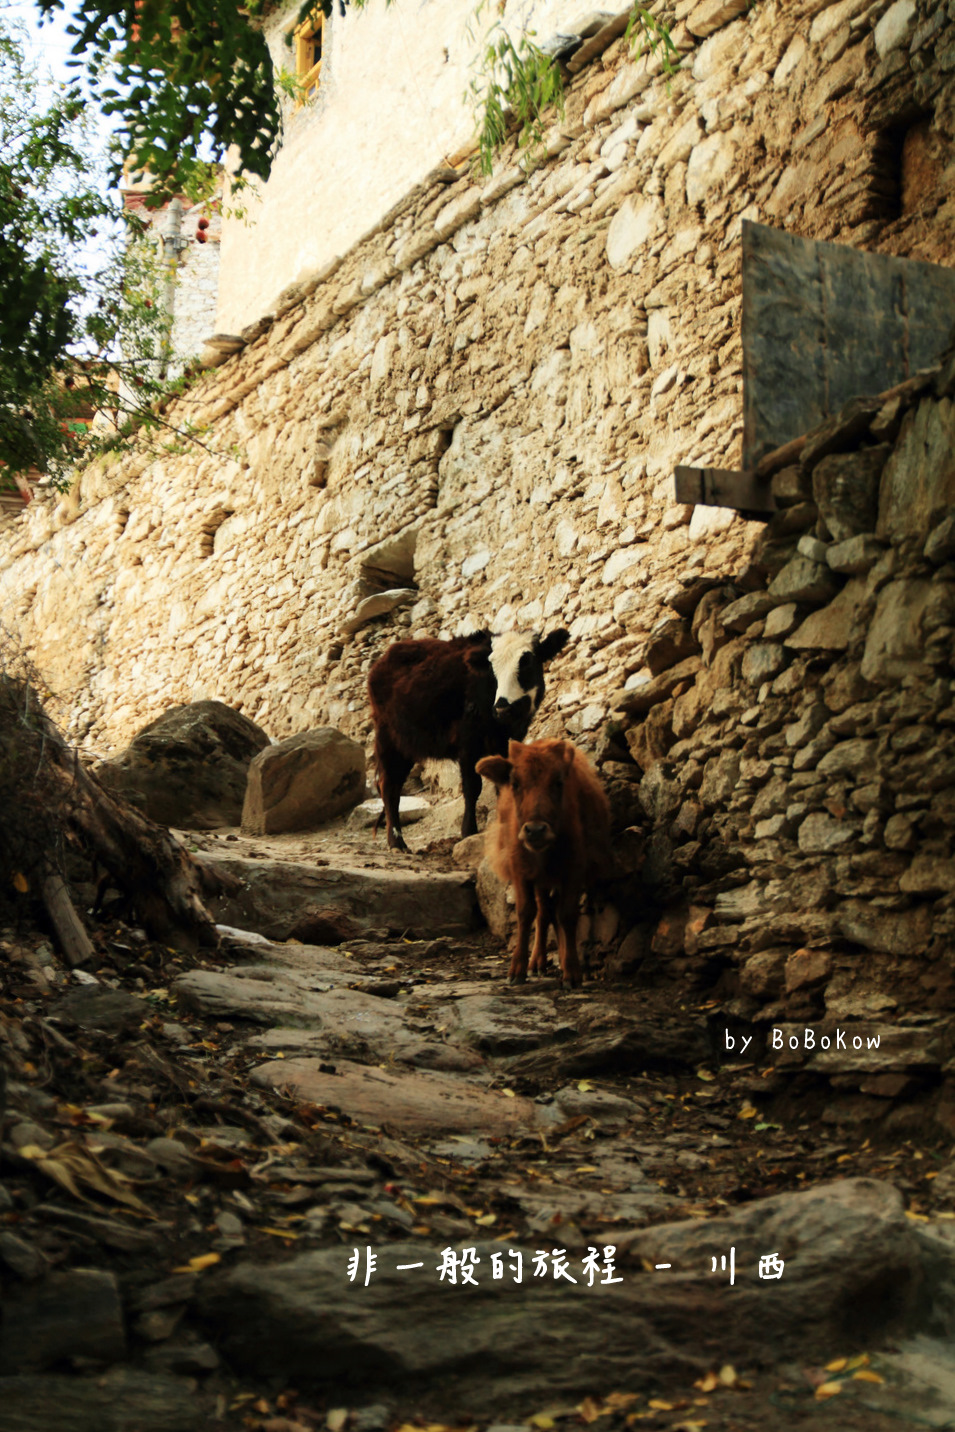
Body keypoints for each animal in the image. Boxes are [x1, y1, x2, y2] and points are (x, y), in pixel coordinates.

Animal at [367, 628, 569, 852]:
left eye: (526, 662)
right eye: (492, 669)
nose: (502, 708)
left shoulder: (506, 740)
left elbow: (504, 782)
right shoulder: (468, 741)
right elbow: (472, 787)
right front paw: (469, 831)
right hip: (390, 741)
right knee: (389, 787)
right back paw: (397, 842)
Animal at [476, 738, 611, 988]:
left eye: (558, 782)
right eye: (515, 783)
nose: (535, 830)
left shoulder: (573, 872)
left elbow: (566, 915)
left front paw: (572, 972)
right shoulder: (521, 872)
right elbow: (526, 913)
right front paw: (516, 970)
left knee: (551, 912)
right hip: (540, 881)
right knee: (543, 912)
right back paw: (537, 962)